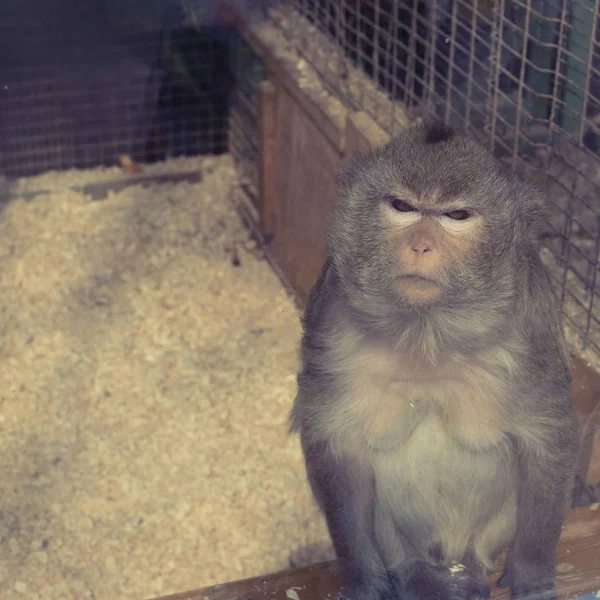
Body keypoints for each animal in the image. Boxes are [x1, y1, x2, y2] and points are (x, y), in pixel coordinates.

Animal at [290, 119, 580, 600]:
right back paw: (414, 572)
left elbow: (548, 440)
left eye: (456, 216)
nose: (421, 246)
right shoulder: (330, 321)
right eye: (402, 206)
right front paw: (364, 580)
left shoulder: (532, 328)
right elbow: (337, 448)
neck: (428, 331)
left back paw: (472, 569)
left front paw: (532, 574)